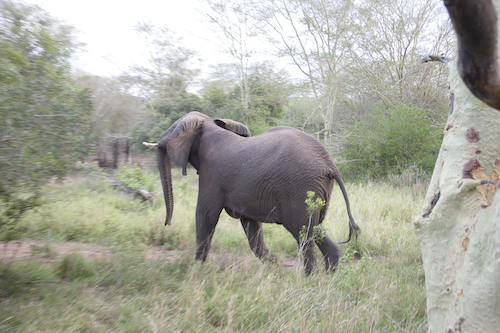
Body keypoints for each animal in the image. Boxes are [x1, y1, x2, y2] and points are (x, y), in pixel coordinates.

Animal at [145, 111, 360, 272]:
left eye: (172, 129)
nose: (166, 224)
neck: (208, 125)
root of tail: (329, 163)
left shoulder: (211, 174)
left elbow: (206, 215)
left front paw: (197, 269)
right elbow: (250, 225)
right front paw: (276, 265)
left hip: (300, 188)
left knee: (303, 232)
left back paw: (308, 279)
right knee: (316, 229)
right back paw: (329, 276)